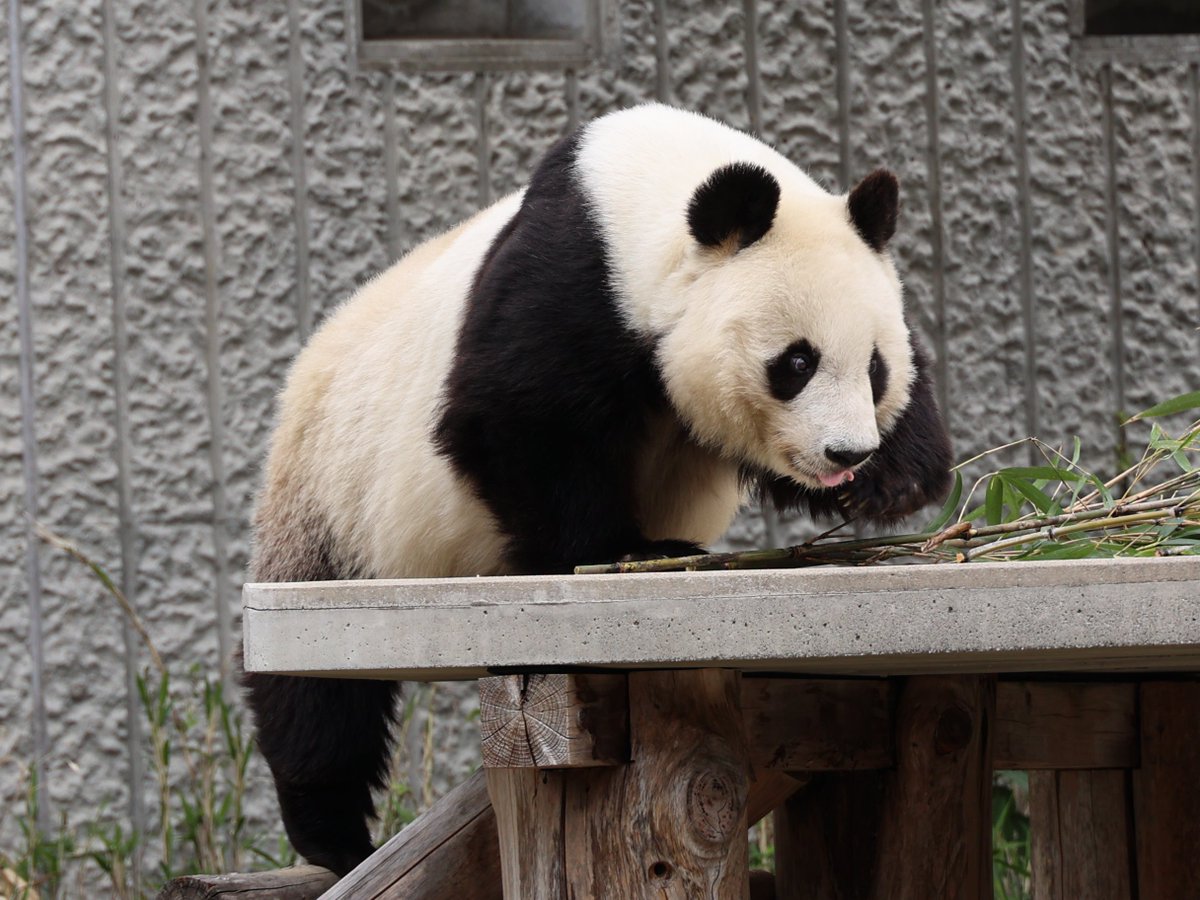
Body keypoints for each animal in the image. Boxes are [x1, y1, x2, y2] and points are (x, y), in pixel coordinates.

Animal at [246, 102, 955, 878]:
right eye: (796, 363)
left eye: (876, 367)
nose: (846, 453)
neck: (640, 189)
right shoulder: (570, 283)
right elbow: (516, 420)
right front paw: (632, 546)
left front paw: (892, 482)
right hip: (333, 498)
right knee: (317, 702)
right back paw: (335, 836)